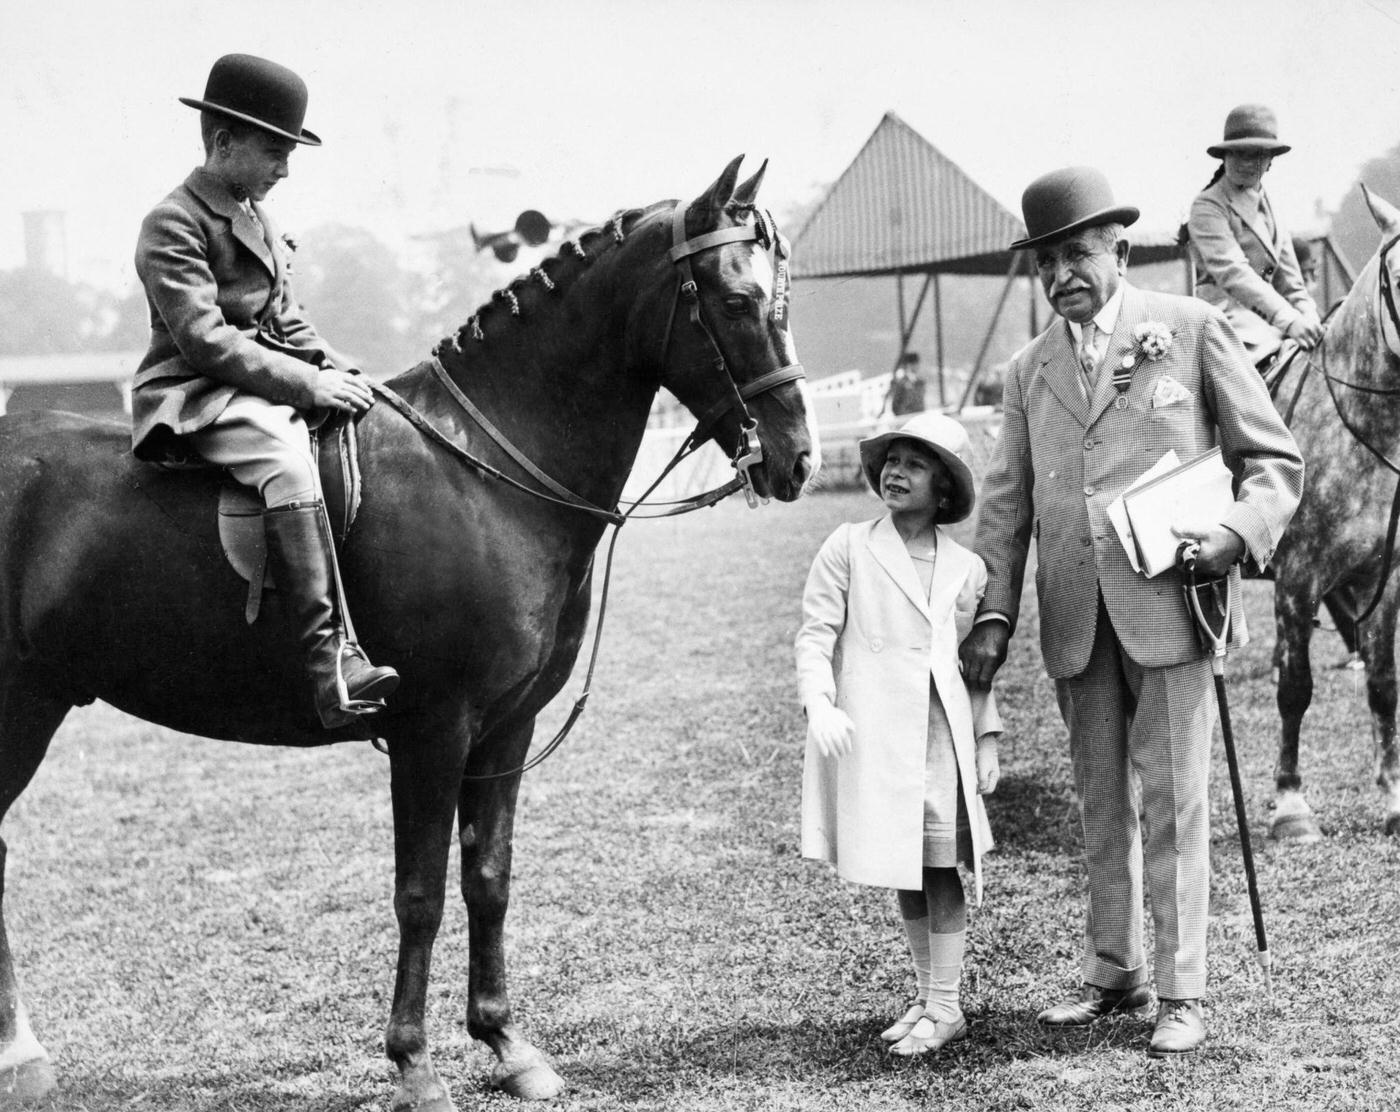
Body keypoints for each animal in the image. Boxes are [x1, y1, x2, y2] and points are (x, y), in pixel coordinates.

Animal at [0, 158, 817, 1109]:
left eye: (785, 294)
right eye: (734, 299)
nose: (798, 459)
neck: (486, 471)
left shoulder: (505, 727)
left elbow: (489, 876)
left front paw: (507, 1043)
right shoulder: (435, 727)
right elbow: (421, 891)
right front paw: (416, 1063)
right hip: (17, 711)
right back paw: (21, 1055)